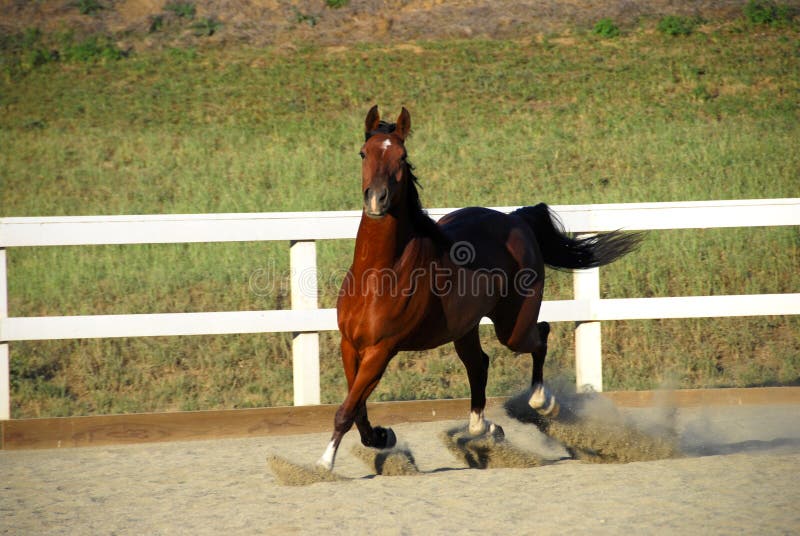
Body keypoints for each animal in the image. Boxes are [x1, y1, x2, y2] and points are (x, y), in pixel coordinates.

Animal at [316, 104, 640, 468]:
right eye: (363, 153)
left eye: (402, 156)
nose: (376, 200)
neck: (378, 275)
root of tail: (516, 219)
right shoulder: (351, 345)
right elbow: (357, 409)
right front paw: (382, 436)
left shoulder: (381, 351)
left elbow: (347, 410)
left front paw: (324, 463)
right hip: (465, 328)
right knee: (479, 363)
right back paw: (485, 427)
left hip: (512, 327)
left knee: (539, 335)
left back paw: (542, 403)